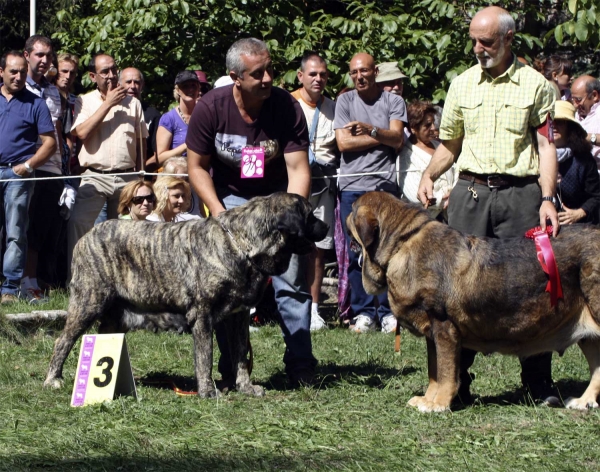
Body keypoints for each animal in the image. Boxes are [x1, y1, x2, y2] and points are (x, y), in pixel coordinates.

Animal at [45, 193, 328, 398]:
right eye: (309, 215)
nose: (326, 226)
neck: (241, 246)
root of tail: (86, 236)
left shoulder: (238, 317)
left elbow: (240, 356)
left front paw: (246, 388)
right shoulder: (202, 315)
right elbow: (205, 357)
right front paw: (208, 391)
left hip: (115, 317)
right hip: (88, 303)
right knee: (62, 341)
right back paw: (53, 379)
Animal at [344, 192, 600, 412]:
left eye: (353, 208)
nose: (343, 214)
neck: (402, 243)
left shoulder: (444, 328)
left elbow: (446, 372)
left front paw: (438, 404)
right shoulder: (432, 335)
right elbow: (434, 371)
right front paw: (427, 399)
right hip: (587, 333)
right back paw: (583, 401)